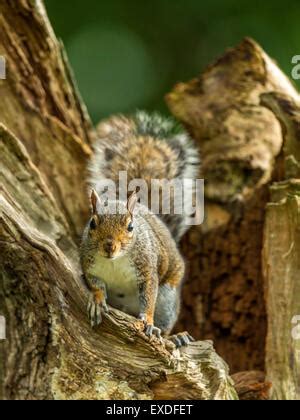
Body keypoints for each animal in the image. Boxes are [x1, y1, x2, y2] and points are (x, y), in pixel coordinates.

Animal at [81, 111, 200, 348]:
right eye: (92, 223)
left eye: (130, 226)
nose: (109, 246)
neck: (114, 261)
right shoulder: (88, 264)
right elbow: (95, 283)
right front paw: (97, 300)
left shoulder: (147, 268)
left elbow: (149, 295)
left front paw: (148, 321)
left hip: (167, 298)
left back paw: (174, 336)